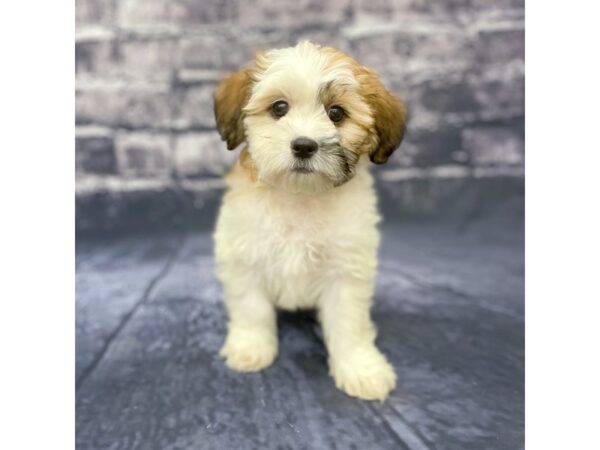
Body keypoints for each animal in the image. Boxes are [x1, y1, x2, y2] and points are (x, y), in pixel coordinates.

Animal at [213, 41, 406, 400]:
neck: (299, 197)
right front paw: (251, 348)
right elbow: (252, 309)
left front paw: (361, 368)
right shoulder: (245, 256)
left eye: (336, 114)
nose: (303, 146)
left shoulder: (346, 270)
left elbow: (348, 323)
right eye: (279, 107)